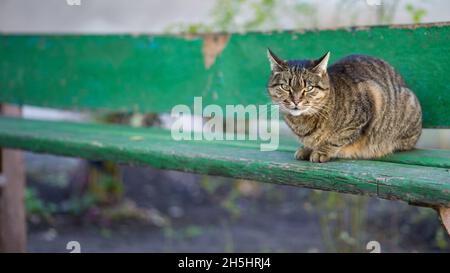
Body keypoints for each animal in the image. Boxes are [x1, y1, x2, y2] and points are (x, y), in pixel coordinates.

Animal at [266, 49, 420, 162]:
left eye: (309, 88)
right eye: (285, 87)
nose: (296, 101)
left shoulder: (368, 102)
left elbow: (339, 138)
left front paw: (321, 151)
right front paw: (307, 148)